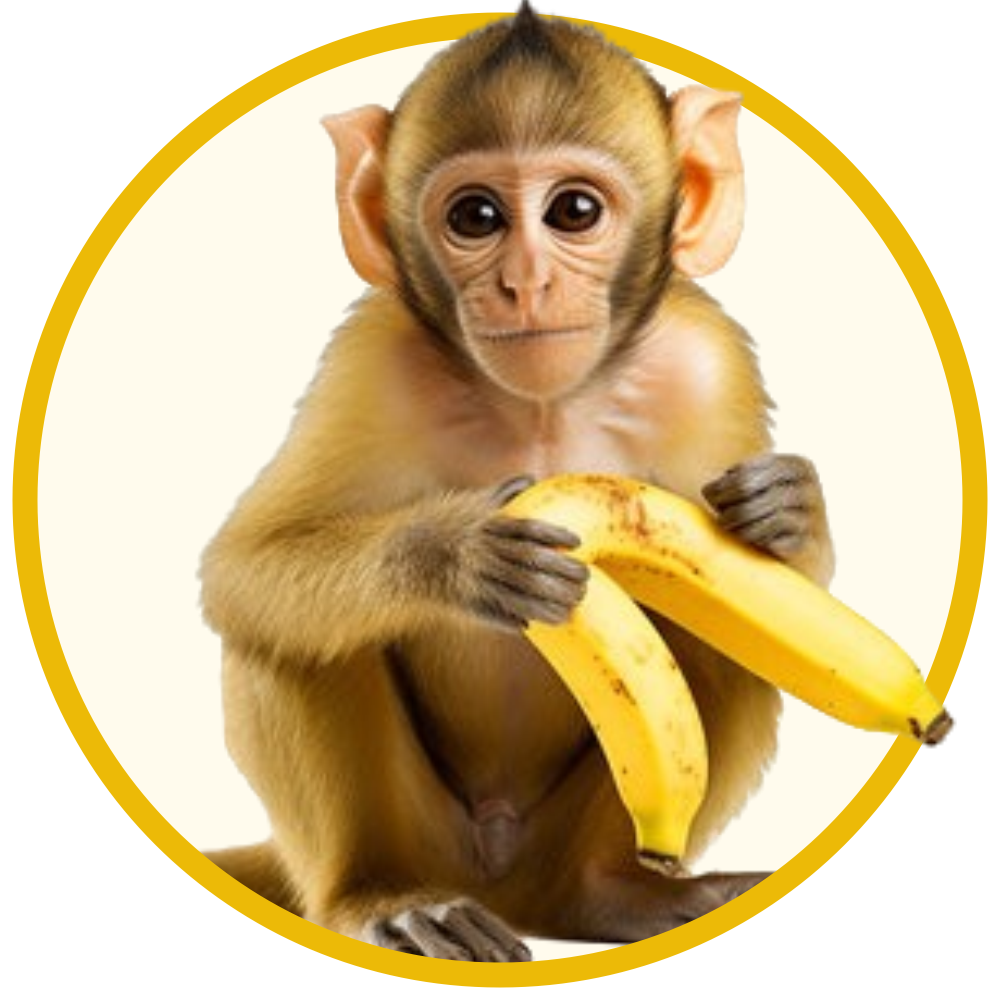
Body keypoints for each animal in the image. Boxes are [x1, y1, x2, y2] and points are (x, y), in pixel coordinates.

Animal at [200, 3, 834, 961]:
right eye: (476, 216)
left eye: (573, 210)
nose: (524, 282)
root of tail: (501, 878)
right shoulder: (372, 361)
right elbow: (244, 569)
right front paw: (453, 555)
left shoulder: (707, 363)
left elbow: (774, 593)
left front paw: (790, 515)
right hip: (432, 835)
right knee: (290, 631)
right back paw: (382, 897)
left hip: (547, 850)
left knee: (728, 633)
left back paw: (612, 896)